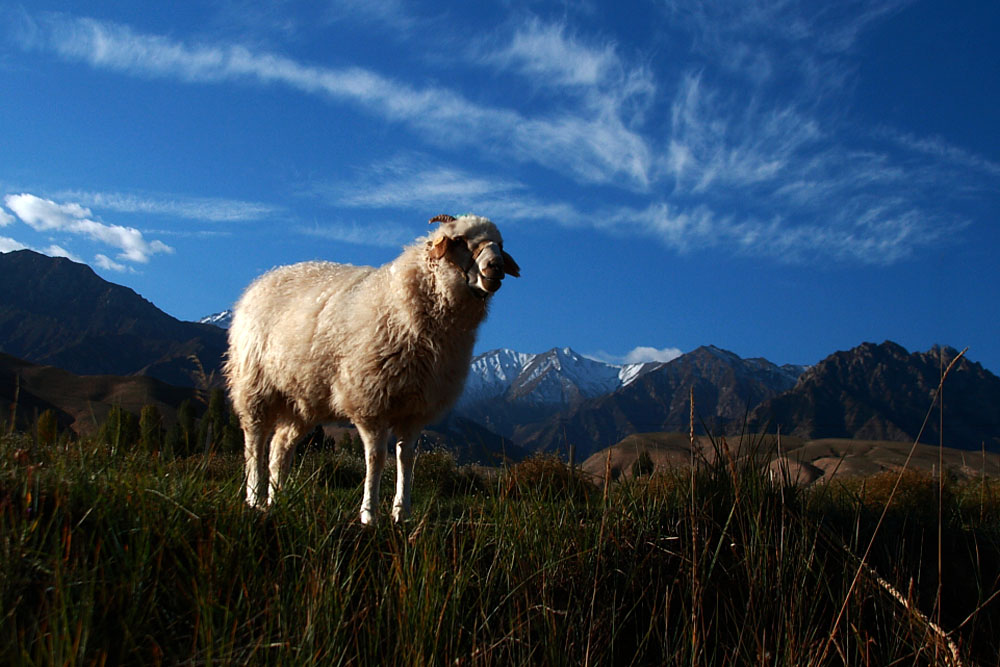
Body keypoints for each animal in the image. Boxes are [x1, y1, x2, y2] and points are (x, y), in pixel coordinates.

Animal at [224, 217, 520, 524]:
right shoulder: (371, 401)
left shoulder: (415, 409)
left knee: (279, 448)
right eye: (460, 241)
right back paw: (254, 499)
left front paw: (402, 513)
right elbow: (376, 457)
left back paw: (277, 499)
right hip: (254, 386)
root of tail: (263, 279)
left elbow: (406, 459)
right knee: (254, 443)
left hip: (301, 401)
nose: (495, 267)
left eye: (501, 245)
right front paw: (369, 514)